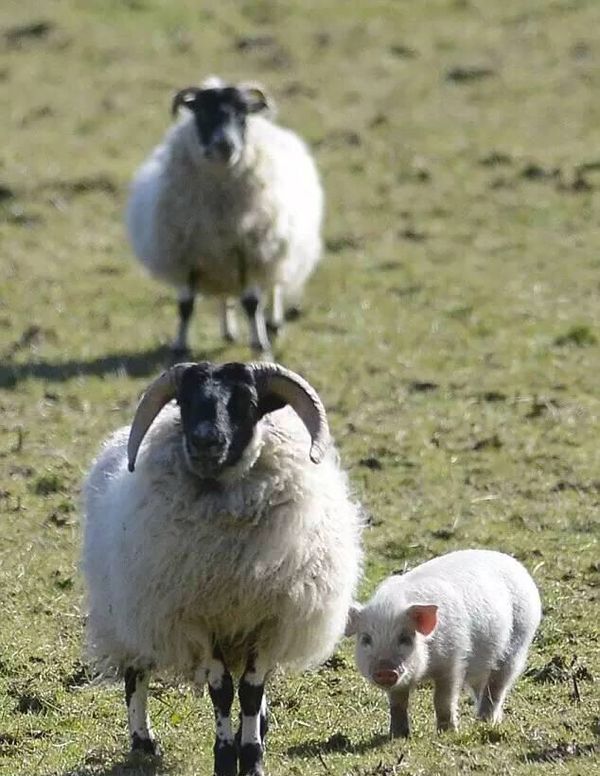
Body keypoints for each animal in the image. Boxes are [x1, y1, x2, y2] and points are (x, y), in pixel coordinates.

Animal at [344, 548, 540, 736]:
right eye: (366, 639)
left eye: (405, 638)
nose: (385, 670)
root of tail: (516, 565)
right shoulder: (400, 682)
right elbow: (398, 704)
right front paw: (397, 735)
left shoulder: (454, 660)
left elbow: (442, 699)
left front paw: (448, 732)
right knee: (482, 687)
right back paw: (493, 720)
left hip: (517, 644)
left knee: (497, 687)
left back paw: (484, 721)